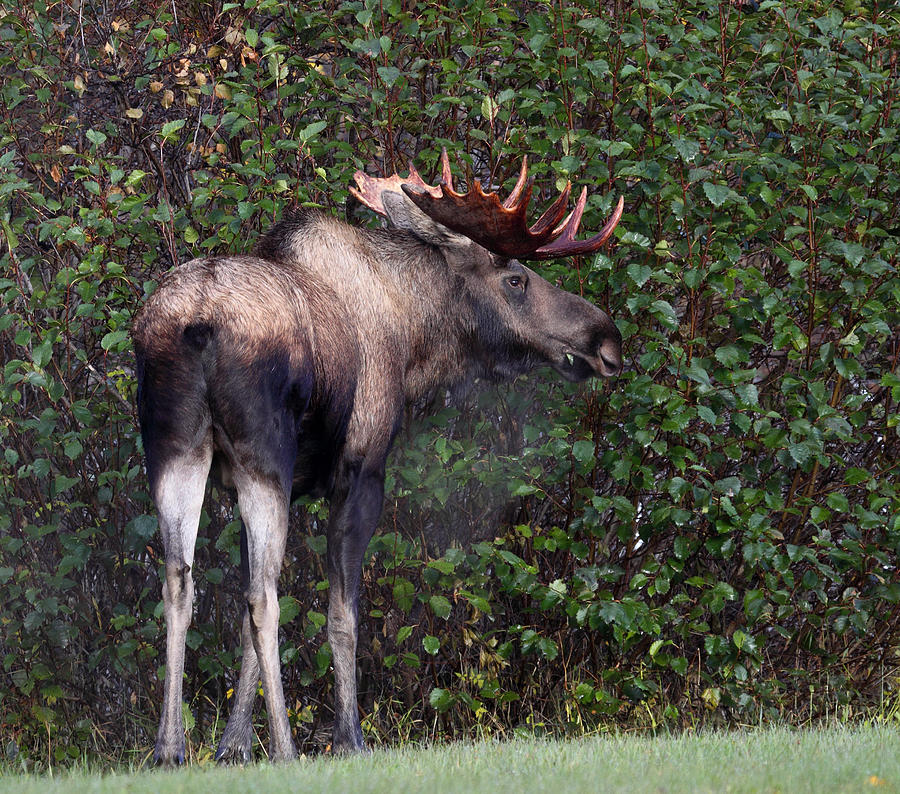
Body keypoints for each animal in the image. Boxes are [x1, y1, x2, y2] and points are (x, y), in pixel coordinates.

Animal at [134, 148, 624, 760]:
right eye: (515, 278)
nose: (606, 340)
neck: (413, 341)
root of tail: (196, 323)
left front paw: (234, 745)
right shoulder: (361, 473)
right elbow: (341, 616)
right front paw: (349, 737)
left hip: (174, 449)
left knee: (179, 583)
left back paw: (169, 748)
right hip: (262, 458)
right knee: (262, 599)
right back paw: (288, 748)